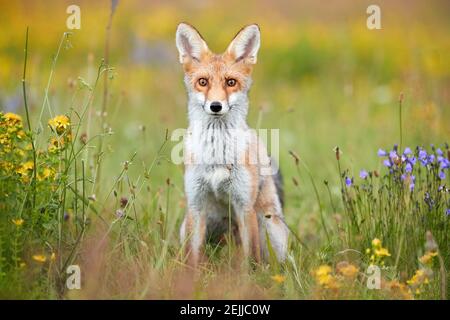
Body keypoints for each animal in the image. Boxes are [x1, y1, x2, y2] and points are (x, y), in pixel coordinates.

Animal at [176, 23, 288, 268]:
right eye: (203, 82)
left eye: (230, 82)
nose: (216, 106)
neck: (217, 154)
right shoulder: (196, 204)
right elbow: (193, 257)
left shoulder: (244, 205)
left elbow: (251, 258)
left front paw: (250, 277)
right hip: (188, 225)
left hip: (271, 227)